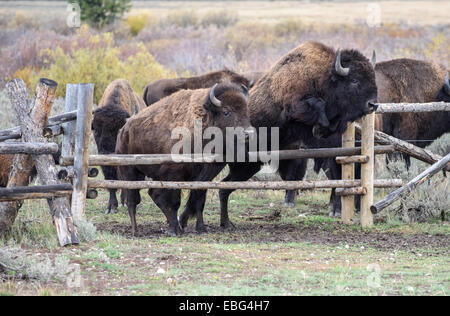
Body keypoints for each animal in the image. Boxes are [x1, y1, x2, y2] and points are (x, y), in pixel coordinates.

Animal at [116, 82, 253, 236]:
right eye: (226, 111)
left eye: (246, 110)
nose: (248, 133)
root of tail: (124, 130)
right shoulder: (174, 175)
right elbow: (175, 202)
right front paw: (175, 230)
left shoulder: (204, 177)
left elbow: (199, 200)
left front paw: (201, 228)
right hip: (130, 171)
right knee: (133, 199)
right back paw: (136, 230)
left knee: (152, 194)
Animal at [178, 41, 378, 230]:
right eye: (354, 80)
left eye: (372, 76)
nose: (373, 104)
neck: (324, 76)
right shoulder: (294, 105)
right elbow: (317, 105)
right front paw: (320, 126)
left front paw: (321, 129)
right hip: (217, 163)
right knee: (201, 188)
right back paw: (188, 221)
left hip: (246, 168)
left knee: (222, 190)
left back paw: (223, 223)